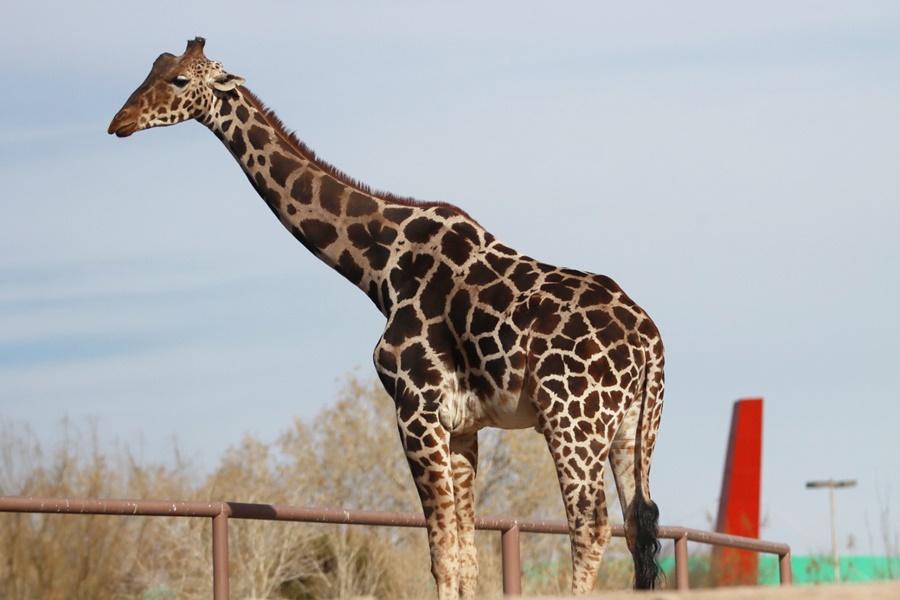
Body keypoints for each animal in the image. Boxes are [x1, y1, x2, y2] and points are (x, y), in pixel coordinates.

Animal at [109, 39, 664, 596]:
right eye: (153, 68)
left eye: (180, 80)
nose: (120, 121)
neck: (377, 266)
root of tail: (650, 344)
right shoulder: (461, 427)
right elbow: (465, 555)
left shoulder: (415, 408)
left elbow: (441, 554)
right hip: (631, 430)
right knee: (638, 529)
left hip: (572, 422)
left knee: (591, 526)